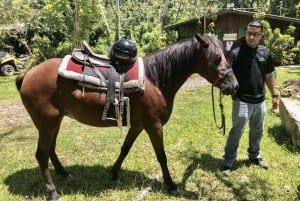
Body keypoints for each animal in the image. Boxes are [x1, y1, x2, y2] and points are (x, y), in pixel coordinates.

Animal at [15, 34, 238, 199]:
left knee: (50, 150)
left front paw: (114, 173)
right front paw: (170, 184)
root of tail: (27, 74)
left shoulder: (138, 125)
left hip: (55, 121)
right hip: (47, 124)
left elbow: (125, 148)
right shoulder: (154, 125)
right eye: (217, 59)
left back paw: (63, 173)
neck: (154, 79)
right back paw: (53, 192)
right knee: (42, 155)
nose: (234, 86)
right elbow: (162, 156)